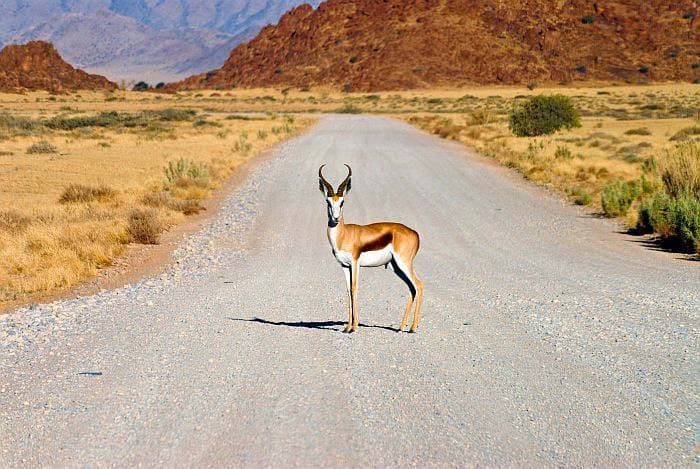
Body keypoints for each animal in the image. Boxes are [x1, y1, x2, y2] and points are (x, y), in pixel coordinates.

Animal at [320, 165, 424, 332]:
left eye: (342, 202)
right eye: (328, 202)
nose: (335, 218)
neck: (344, 235)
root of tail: (415, 233)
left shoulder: (355, 263)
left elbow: (354, 288)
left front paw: (354, 326)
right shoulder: (344, 265)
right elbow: (348, 291)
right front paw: (347, 326)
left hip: (404, 263)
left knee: (419, 285)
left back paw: (413, 328)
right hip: (396, 267)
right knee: (411, 288)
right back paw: (401, 327)